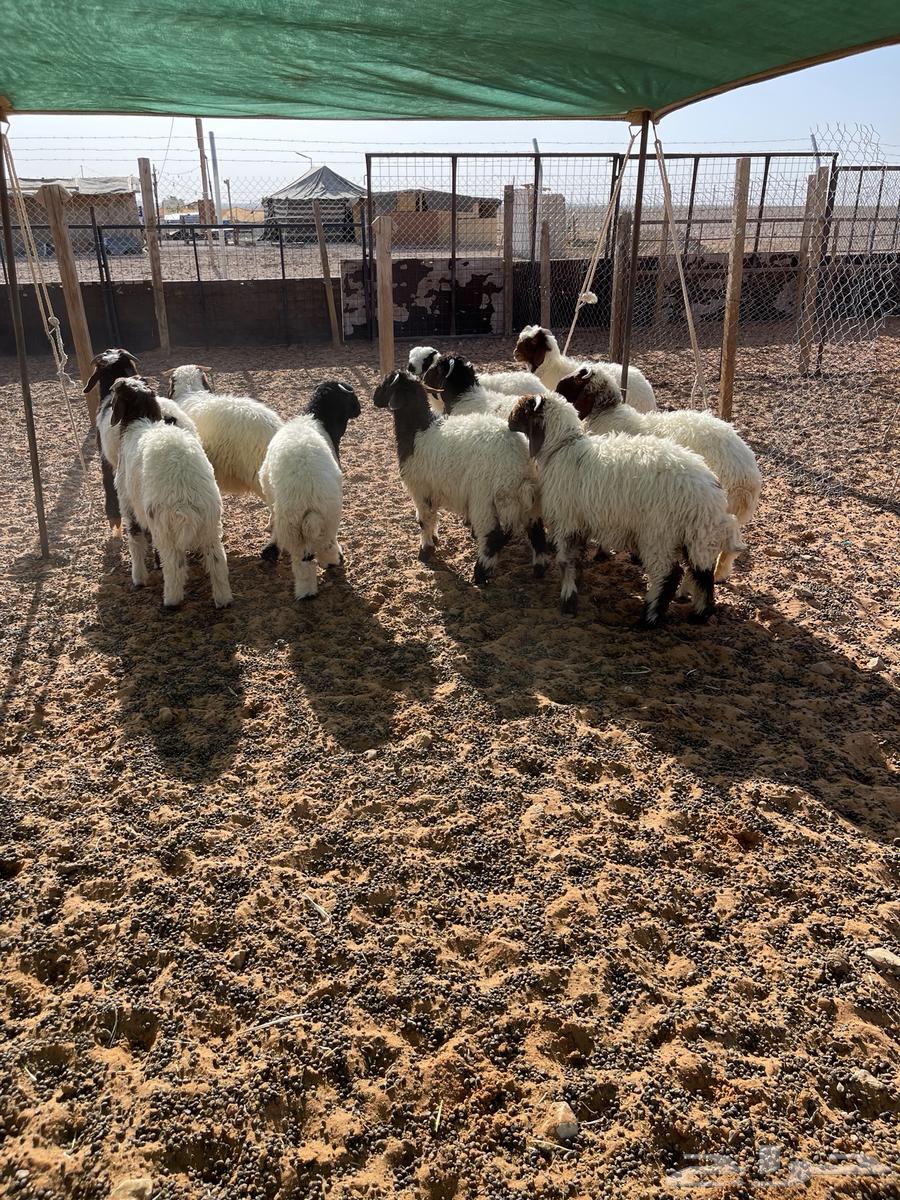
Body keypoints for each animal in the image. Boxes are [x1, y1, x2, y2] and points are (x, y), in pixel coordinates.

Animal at [110, 379, 232, 609]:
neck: (142, 419)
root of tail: (184, 494)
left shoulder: (127, 504)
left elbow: (135, 541)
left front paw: (138, 578)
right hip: (210, 523)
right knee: (218, 561)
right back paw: (224, 600)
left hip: (164, 527)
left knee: (174, 564)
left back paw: (170, 601)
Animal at [258, 381, 361, 600]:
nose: (360, 408)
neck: (314, 418)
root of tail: (306, 492)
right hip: (328, 517)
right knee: (324, 547)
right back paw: (332, 563)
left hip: (293, 524)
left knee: (302, 561)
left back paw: (305, 592)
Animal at [373, 371, 549, 584]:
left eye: (387, 383)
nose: (374, 398)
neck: (418, 429)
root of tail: (521, 463)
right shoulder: (433, 489)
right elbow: (433, 517)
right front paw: (433, 540)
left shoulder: (420, 488)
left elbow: (423, 520)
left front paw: (425, 552)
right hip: (528, 500)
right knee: (537, 532)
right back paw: (539, 569)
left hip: (485, 498)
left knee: (494, 536)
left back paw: (480, 573)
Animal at [508, 392, 744, 624]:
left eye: (522, 409)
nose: (509, 422)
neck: (561, 449)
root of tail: (710, 491)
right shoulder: (581, 521)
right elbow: (577, 560)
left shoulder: (568, 520)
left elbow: (566, 561)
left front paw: (568, 601)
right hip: (695, 534)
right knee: (702, 573)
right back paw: (699, 615)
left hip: (660, 533)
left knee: (668, 574)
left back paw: (649, 618)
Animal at [557, 365, 762, 579]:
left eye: (574, 380)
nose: (555, 392)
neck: (607, 414)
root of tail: (747, 477)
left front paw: (603, 552)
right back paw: (720, 572)